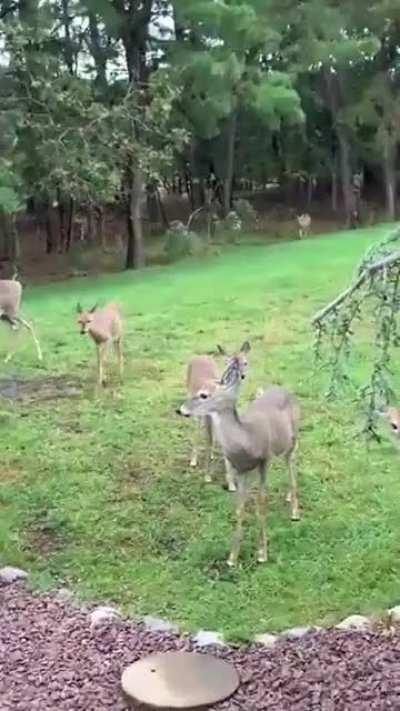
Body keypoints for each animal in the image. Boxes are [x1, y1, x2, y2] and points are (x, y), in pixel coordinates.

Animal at [177, 357, 300, 567]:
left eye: (204, 395)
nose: (180, 410)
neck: (246, 440)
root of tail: (284, 389)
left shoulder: (264, 461)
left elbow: (262, 503)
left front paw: (262, 553)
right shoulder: (242, 469)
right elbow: (240, 507)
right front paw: (232, 557)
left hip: (293, 439)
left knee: (292, 466)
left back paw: (294, 511)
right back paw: (288, 497)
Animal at [182, 342, 250, 493]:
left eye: (245, 362)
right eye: (228, 363)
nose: (242, 376)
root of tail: (199, 356)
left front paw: (231, 484)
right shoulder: (208, 417)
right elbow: (208, 442)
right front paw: (207, 476)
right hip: (194, 407)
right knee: (197, 431)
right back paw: (193, 460)